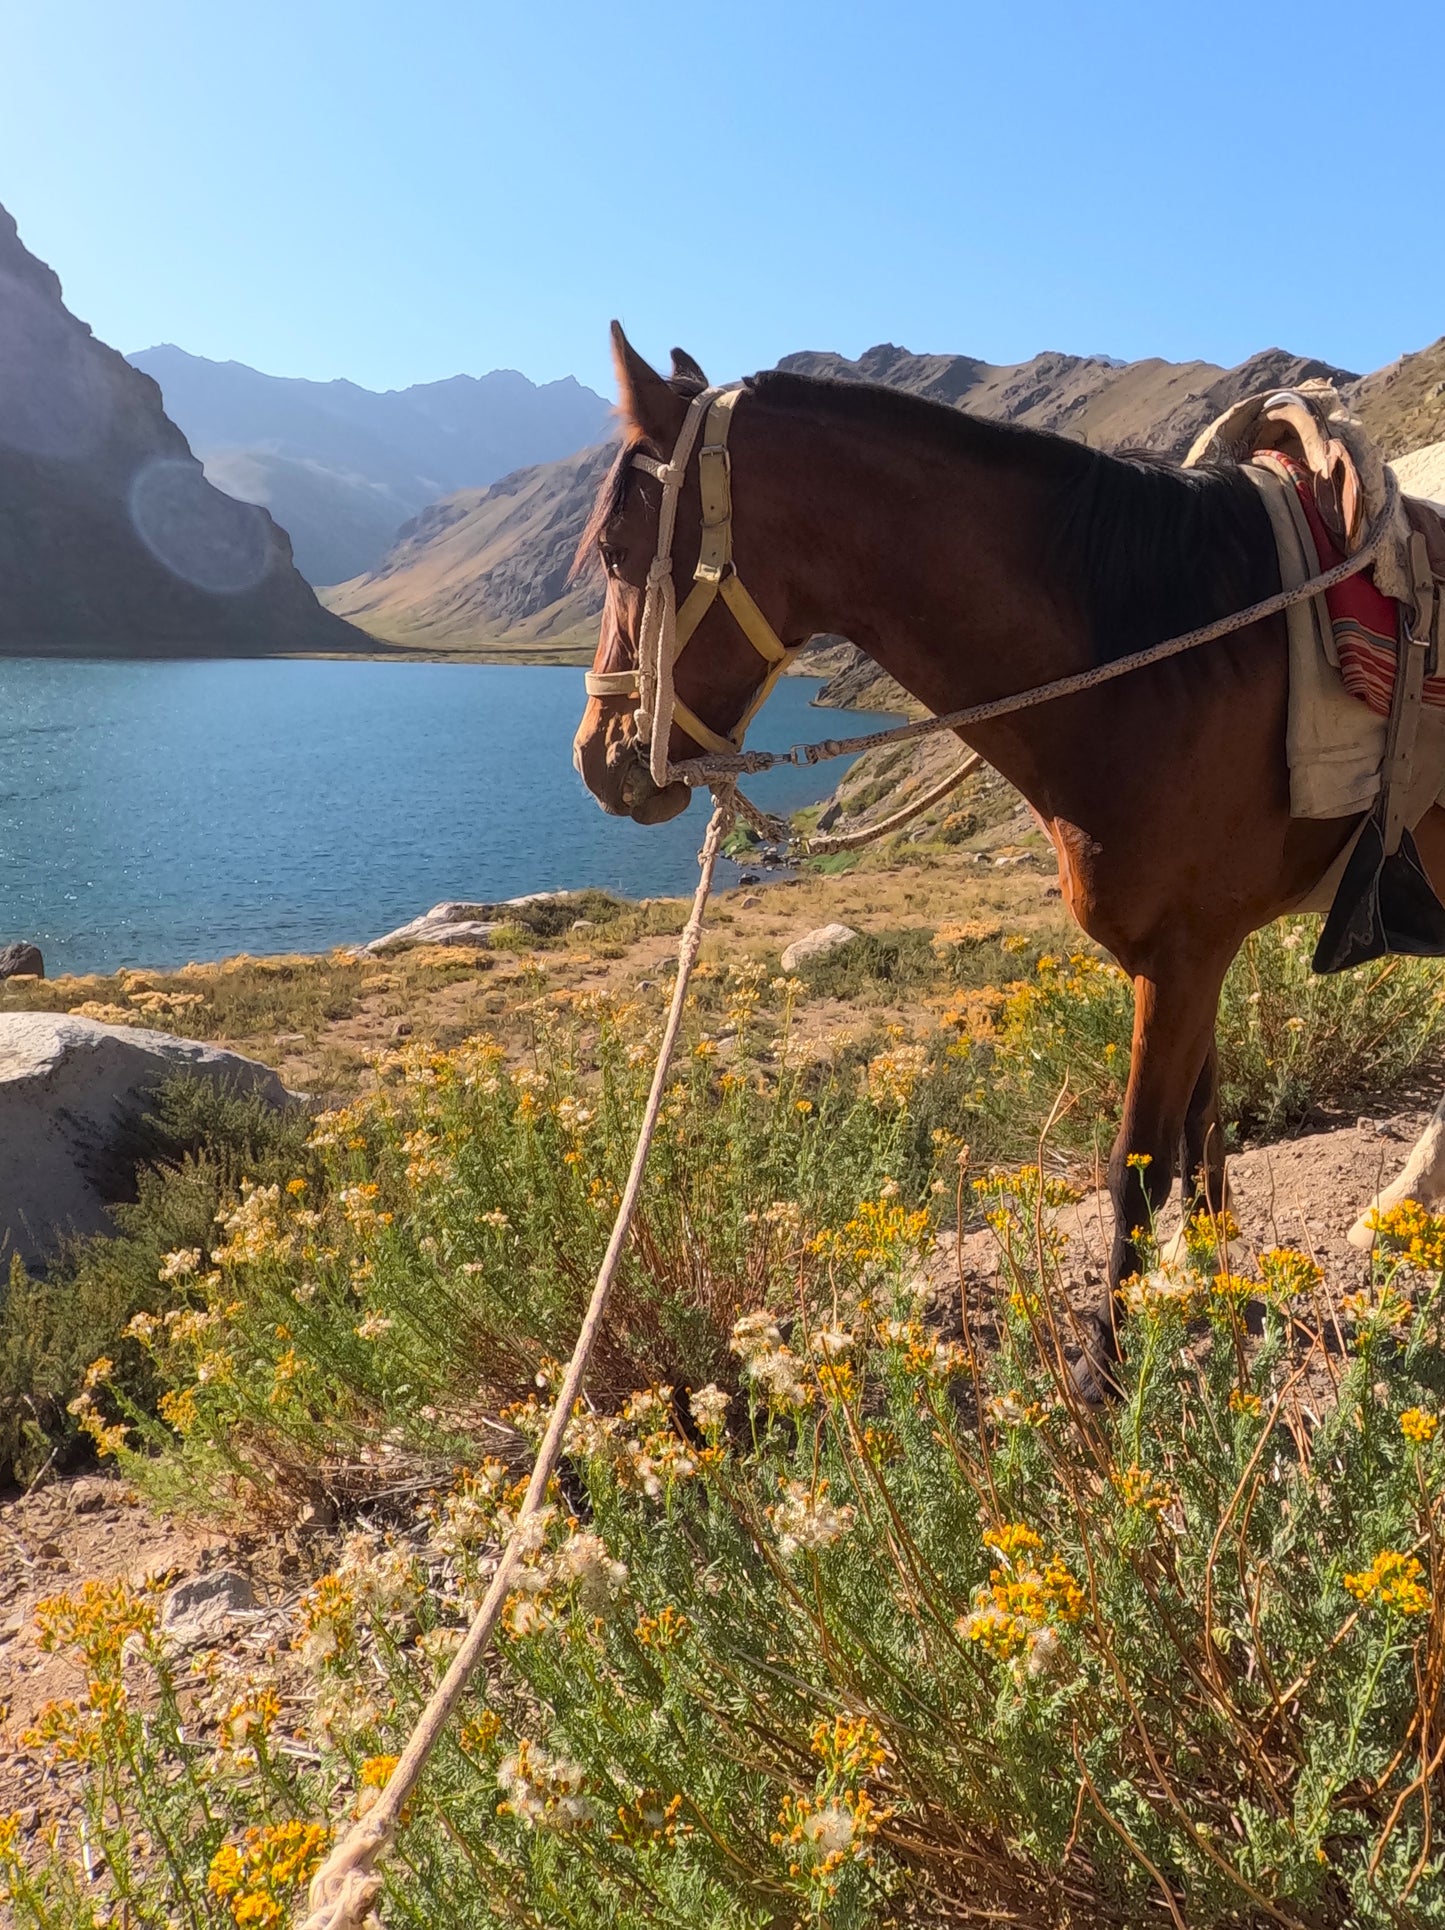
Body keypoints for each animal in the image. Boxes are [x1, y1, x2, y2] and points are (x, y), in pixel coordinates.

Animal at [571, 328, 1443, 1389]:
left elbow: (1139, 1163)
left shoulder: (1183, 954)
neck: (1159, 654)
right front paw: (1218, 1302)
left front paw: (1105, 1374)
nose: (599, 761)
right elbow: (1201, 1141)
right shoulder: (1197, 952)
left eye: (616, 550)